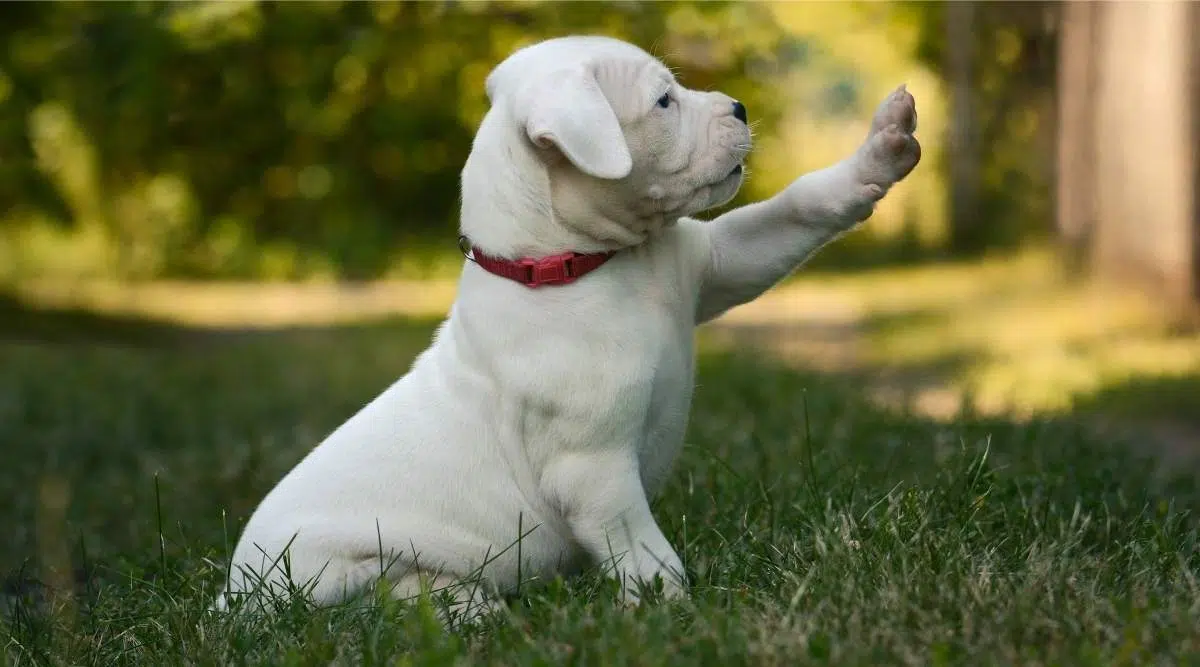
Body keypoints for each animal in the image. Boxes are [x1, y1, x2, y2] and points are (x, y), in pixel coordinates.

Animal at [220, 35, 921, 619]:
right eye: (664, 100)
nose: (741, 108)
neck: (581, 264)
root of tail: (231, 601)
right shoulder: (593, 472)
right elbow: (642, 551)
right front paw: (675, 611)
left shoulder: (716, 266)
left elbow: (795, 211)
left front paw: (881, 150)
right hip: (336, 569)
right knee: (393, 599)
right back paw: (473, 609)